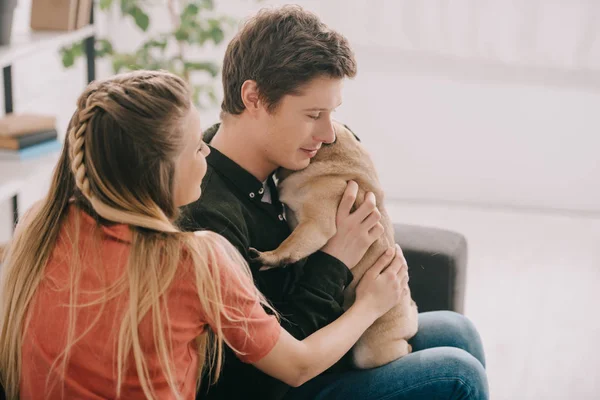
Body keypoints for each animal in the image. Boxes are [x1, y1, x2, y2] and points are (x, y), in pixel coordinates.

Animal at [251, 121, 420, 368]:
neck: (332, 158)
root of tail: (409, 318)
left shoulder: (315, 224)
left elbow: (290, 244)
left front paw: (270, 257)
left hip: (370, 350)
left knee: (399, 349)